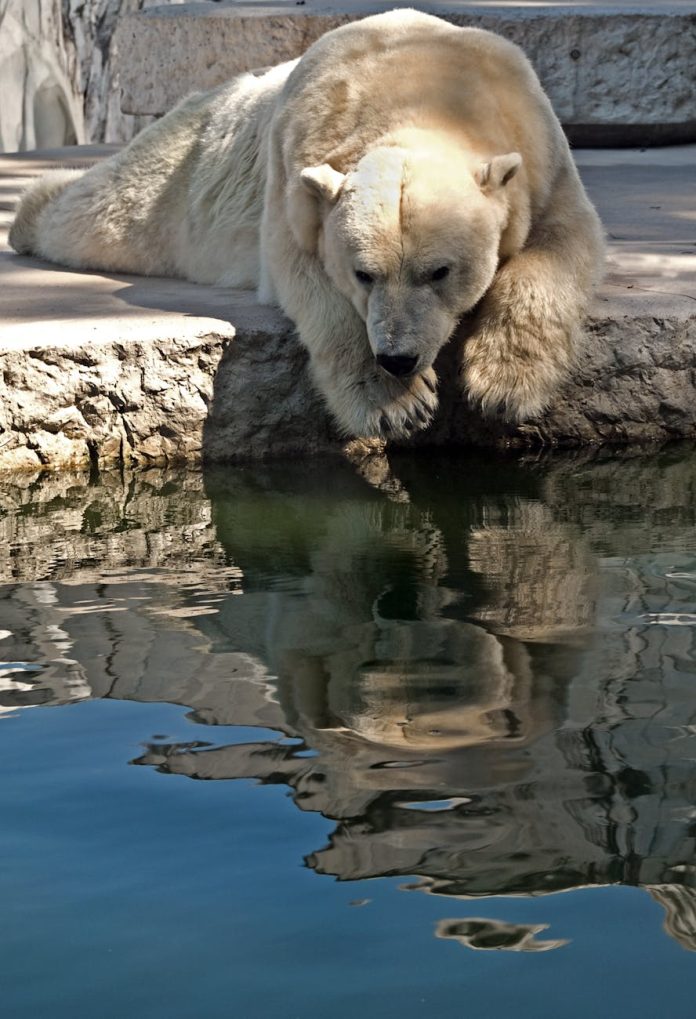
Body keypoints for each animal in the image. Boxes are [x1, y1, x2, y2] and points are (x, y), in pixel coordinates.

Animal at [10, 9, 605, 439]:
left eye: (439, 271)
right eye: (364, 274)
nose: (397, 358)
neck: (424, 97)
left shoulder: (540, 151)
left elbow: (558, 242)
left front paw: (503, 385)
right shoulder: (296, 168)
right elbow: (307, 278)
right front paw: (395, 406)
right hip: (182, 178)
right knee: (103, 215)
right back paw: (28, 213)